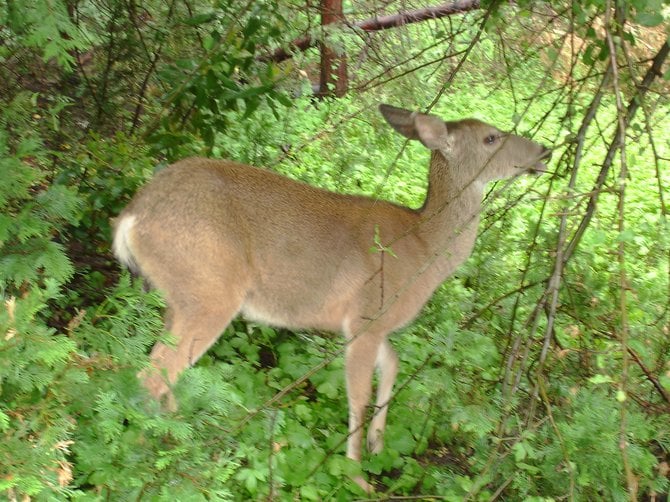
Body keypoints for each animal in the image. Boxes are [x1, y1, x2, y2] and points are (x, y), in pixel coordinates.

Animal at [111, 104, 552, 492]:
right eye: (491, 137)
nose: (545, 151)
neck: (424, 247)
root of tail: (132, 217)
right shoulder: (367, 315)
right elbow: (358, 395)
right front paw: (357, 476)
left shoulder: (368, 325)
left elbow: (393, 364)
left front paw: (377, 441)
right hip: (209, 289)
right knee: (151, 376)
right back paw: (150, 456)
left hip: (176, 298)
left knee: (154, 370)